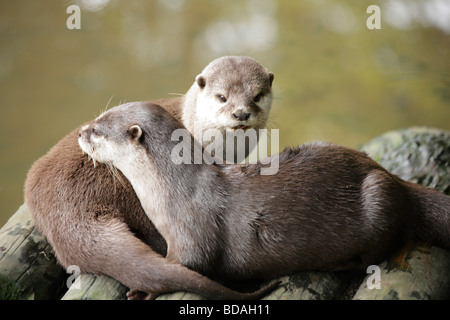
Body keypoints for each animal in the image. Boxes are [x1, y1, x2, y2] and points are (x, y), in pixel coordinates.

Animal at [79, 101, 448, 284]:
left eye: (99, 131)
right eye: (96, 117)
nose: (81, 132)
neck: (174, 190)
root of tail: (394, 178)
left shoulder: (193, 233)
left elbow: (189, 265)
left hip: (378, 196)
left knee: (374, 254)